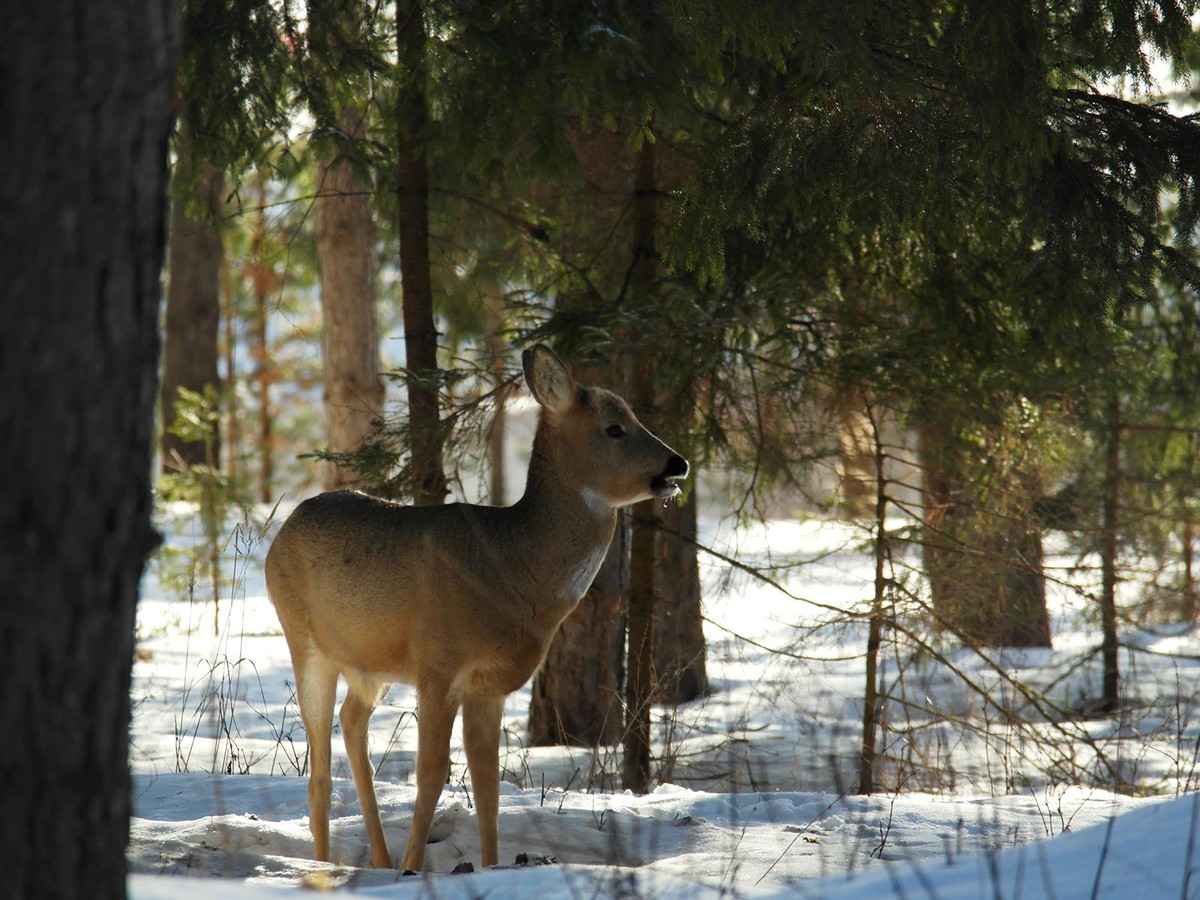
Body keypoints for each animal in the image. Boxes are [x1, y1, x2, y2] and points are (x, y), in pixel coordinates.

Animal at [267, 340, 691, 868]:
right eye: (615, 427)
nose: (678, 465)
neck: (511, 570)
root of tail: (281, 530)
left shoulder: (489, 685)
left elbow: (489, 785)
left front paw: (489, 867)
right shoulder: (439, 663)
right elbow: (432, 773)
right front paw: (413, 869)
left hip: (370, 664)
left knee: (351, 722)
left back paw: (378, 859)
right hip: (304, 641)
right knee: (320, 767)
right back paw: (327, 865)